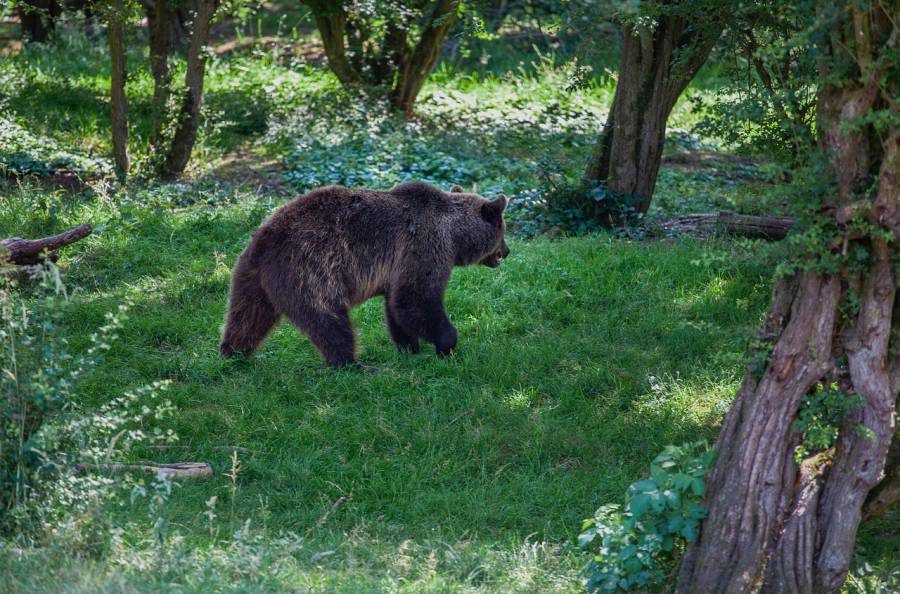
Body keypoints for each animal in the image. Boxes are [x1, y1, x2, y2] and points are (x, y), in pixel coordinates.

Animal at [221, 180, 510, 366]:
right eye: (503, 230)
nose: (506, 251)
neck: (453, 235)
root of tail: (266, 238)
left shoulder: (397, 269)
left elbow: (397, 307)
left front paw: (409, 348)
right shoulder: (423, 246)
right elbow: (416, 298)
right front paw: (446, 344)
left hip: (251, 277)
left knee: (246, 315)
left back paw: (232, 353)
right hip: (310, 270)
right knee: (329, 320)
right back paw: (352, 364)